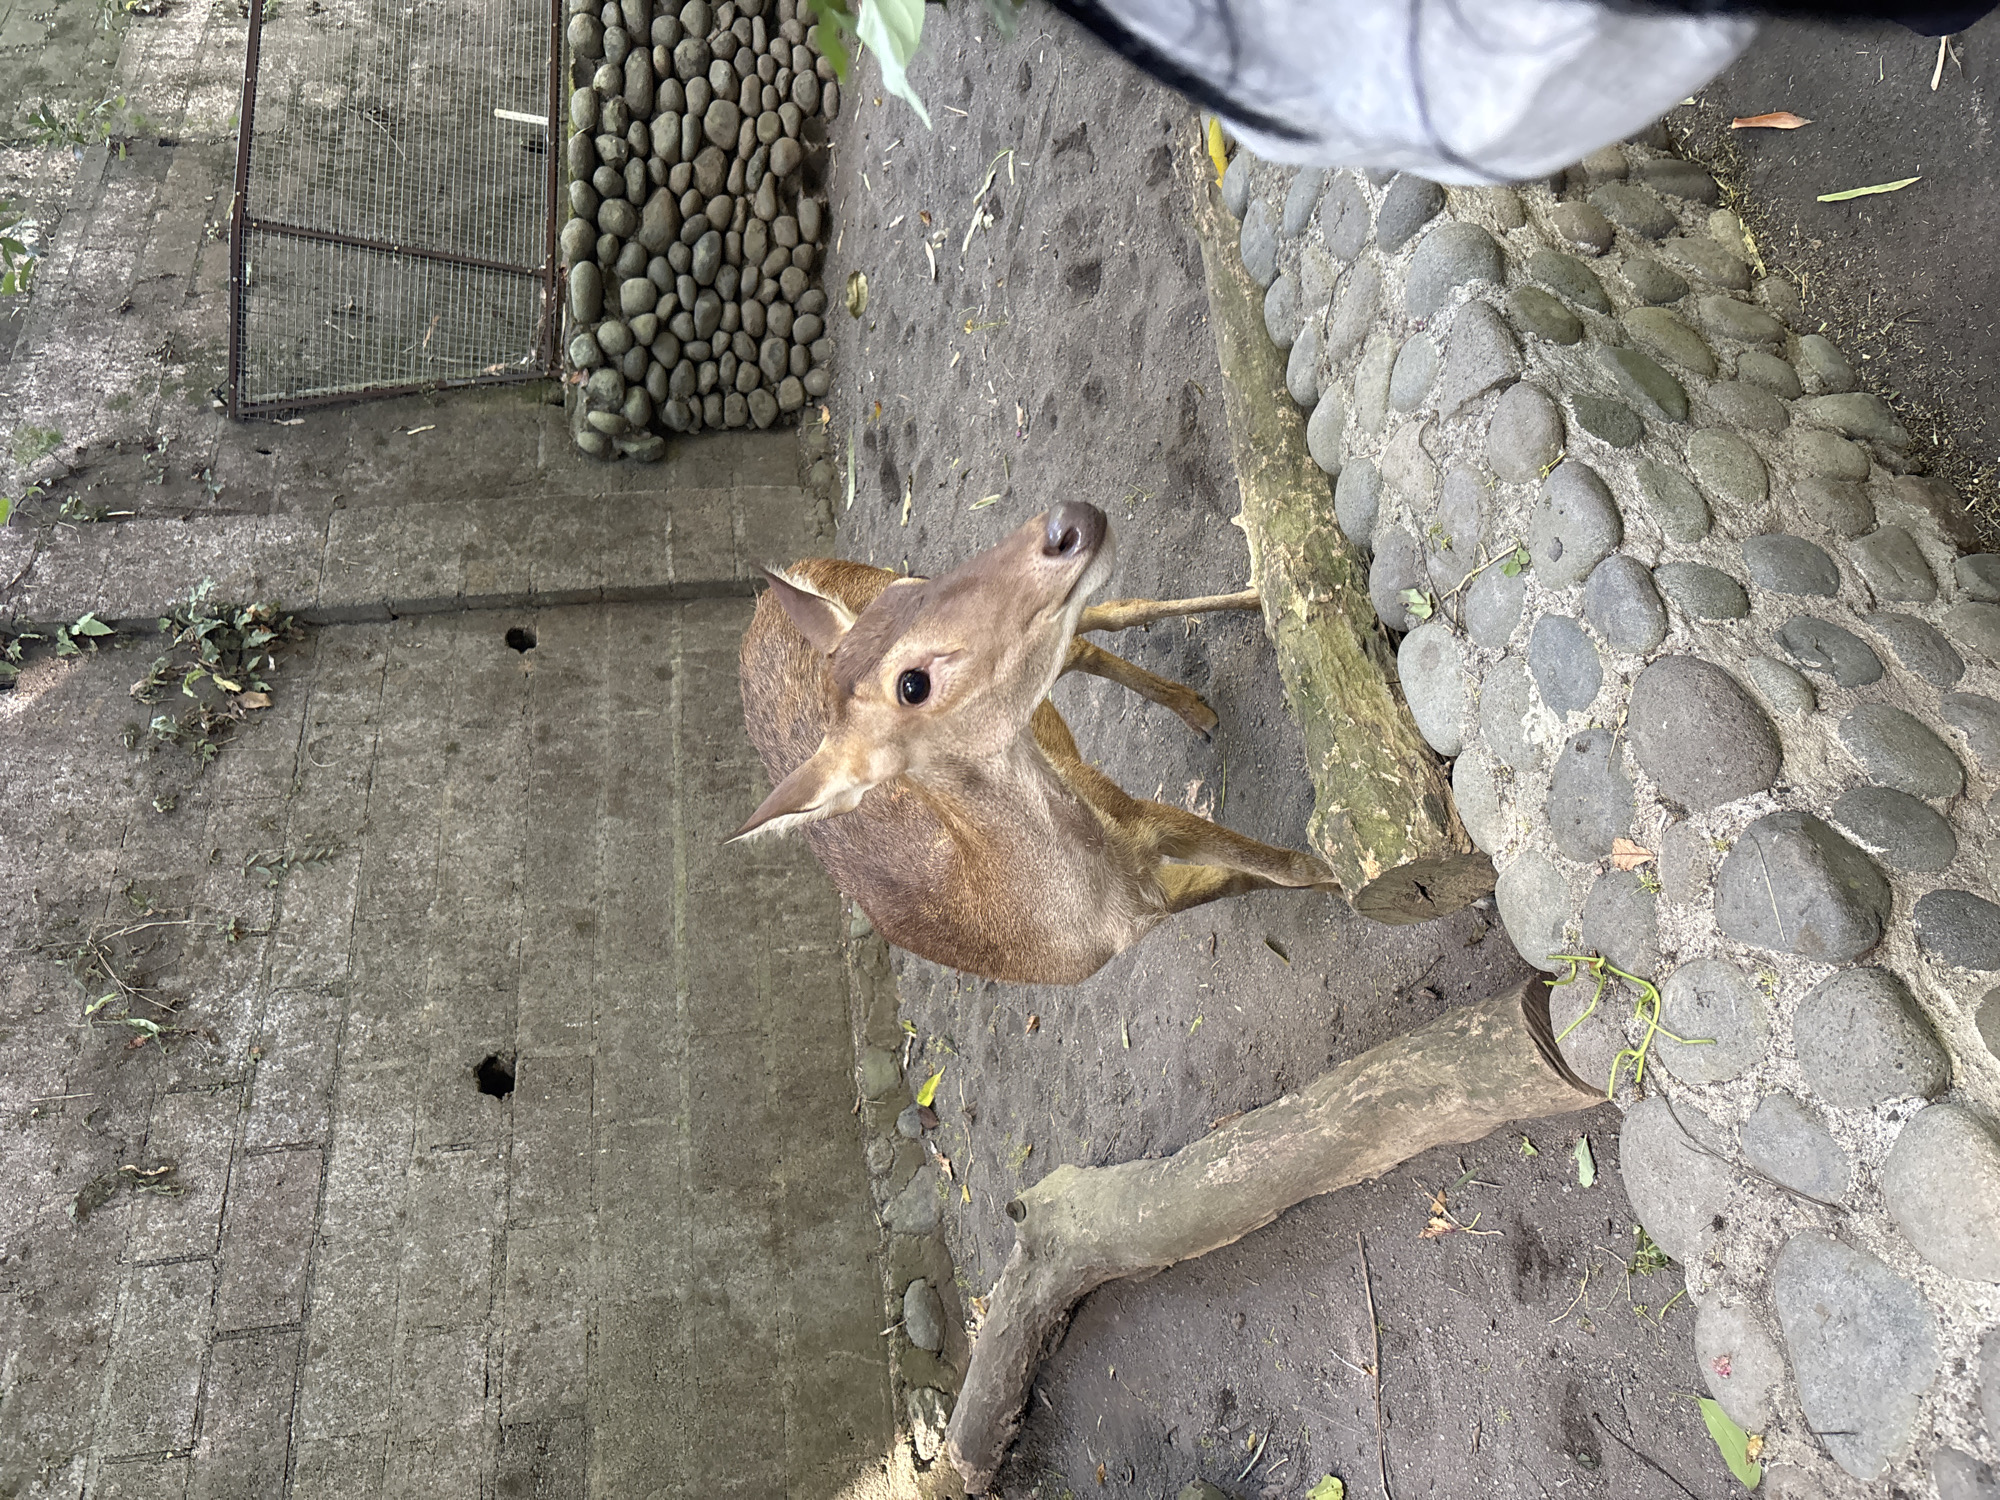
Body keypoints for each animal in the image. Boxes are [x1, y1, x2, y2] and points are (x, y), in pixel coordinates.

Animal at [732, 500, 1339, 984]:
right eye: (912, 684)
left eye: (914, 592)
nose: (1065, 522)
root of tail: (772, 596)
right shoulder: (1151, 895)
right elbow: (1257, 878)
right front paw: (1342, 884)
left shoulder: (1140, 814)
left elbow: (1285, 866)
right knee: (1086, 638)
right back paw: (1198, 702)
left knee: (1099, 623)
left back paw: (1250, 609)